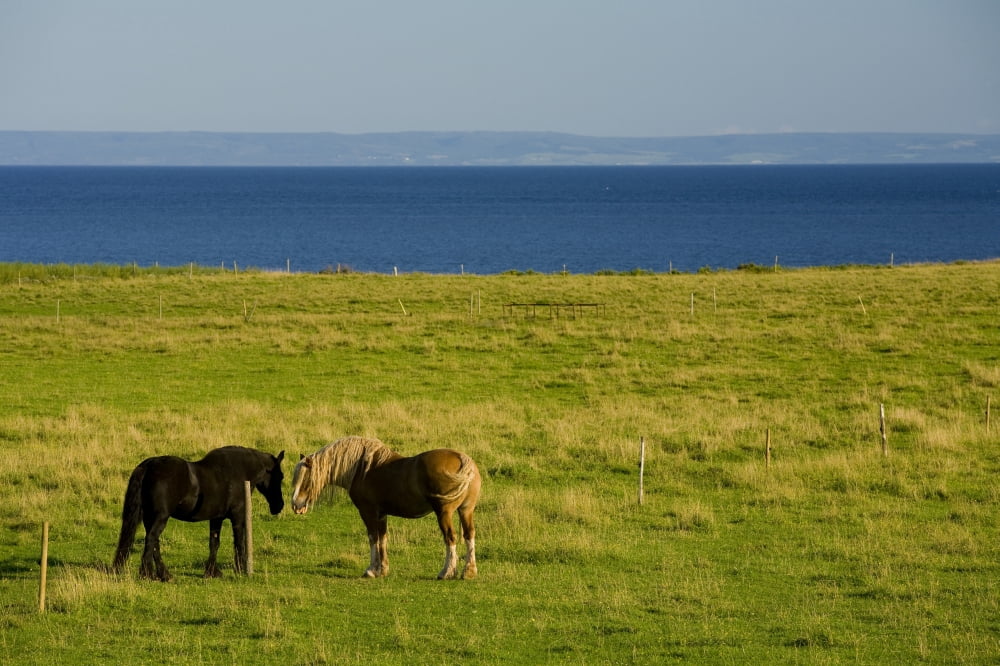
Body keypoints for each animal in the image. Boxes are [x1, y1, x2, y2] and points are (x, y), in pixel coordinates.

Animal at [112, 446, 285, 581]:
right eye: (280, 476)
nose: (279, 506)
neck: (239, 471)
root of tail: (149, 465)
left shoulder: (216, 518)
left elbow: (214, 543)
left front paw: (211, 572)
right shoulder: (237, 516)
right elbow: (239, 542)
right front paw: (240, 569)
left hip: (150, 517)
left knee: (154, 543)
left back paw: (164, 575)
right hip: (160, 517)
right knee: (151, 540)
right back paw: (147, 574)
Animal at [290, 436, 480, 580]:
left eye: (305, 479)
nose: (295, 504)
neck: (361, 469)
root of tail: (463, 460)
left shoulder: (368, 512)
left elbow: (373, 538)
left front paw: (371, 570)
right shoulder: (381, 514)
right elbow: (383, 539)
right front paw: (383, 570)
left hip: (444, 513)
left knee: (450, 537)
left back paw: (446, 572)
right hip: (466, 511)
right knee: (469, 535)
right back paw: (469, 572)